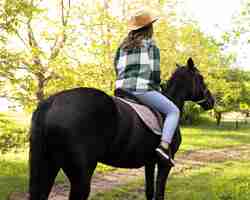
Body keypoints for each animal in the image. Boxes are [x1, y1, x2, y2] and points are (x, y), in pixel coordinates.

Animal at [28, 57, 213, 200]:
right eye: (201, 78)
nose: (212, 100)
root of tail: (51, 103)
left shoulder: (149, 163)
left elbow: (149, 192)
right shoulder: (164, 164)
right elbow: (159, 194)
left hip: (48, 165)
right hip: (80, 176)